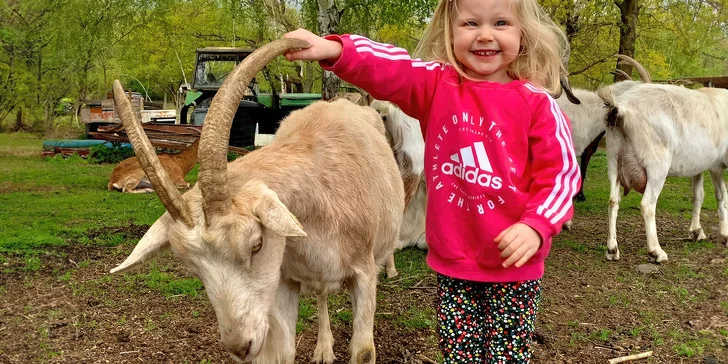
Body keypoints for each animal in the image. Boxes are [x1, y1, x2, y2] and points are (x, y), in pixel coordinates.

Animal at [109, 37, 404, 364]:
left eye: (256, 244)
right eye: (193, 268)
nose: (240, 346)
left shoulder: (363, 272)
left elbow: (363, 352)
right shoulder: (284, 280)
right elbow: (281, 352)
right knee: (322, 295)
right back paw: (323, 348)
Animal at [596, 80, 728, 262]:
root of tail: (621, 108)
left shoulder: (698, 166)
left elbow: (698, 195)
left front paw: (696, 232)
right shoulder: (716, 165)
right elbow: (722, 196)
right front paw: (724, 235)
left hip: (614, 161)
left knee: (613, 201)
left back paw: (612, 250)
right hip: (657, 165)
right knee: (647, 204)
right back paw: (656, 251)